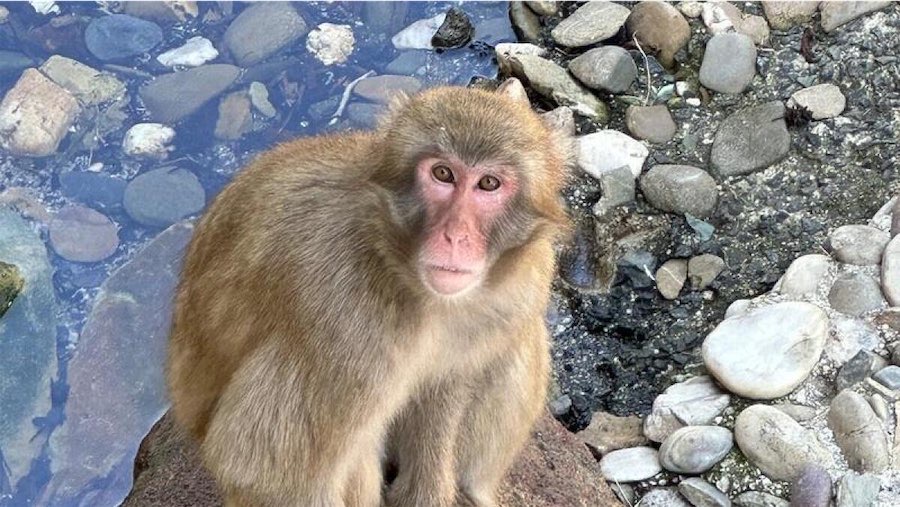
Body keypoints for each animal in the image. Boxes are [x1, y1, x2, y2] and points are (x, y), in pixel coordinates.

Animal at [166, 77, 572, 507]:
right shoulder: (349, 319)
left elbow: (444, 387)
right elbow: (259, 471)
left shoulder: (518, 288)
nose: (455, 236)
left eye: (489, 183)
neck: (394, 258)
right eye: (443, 173)